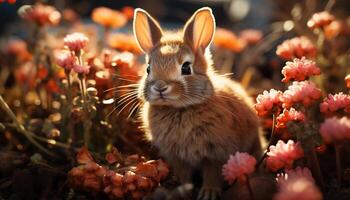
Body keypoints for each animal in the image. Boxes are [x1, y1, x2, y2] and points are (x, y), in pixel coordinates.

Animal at [133, 7, 264, 199]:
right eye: (148, 68)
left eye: (186, 68)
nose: (160, 87)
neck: (180, 109)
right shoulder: (176, 157)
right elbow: (184, 175)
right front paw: (182, 190)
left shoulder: (215, 152)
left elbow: (212, 173)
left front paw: (209, 193)